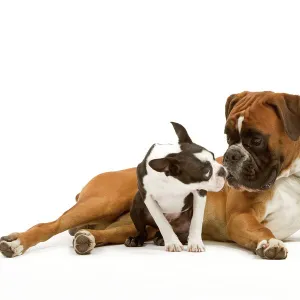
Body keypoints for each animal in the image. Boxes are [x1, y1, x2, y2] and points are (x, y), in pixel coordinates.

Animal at [123, 121, 225, 251]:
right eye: (207, 172)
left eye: (213, 157)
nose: (223, 171)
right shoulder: (147, 196)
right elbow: (162, 222)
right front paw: (173, 243)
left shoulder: (200, 191)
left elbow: (196, 220)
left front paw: (195, 243)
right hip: (136, 204)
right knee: (144, 231)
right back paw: (136, 239)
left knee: (184, 232)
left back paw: (163, 238)